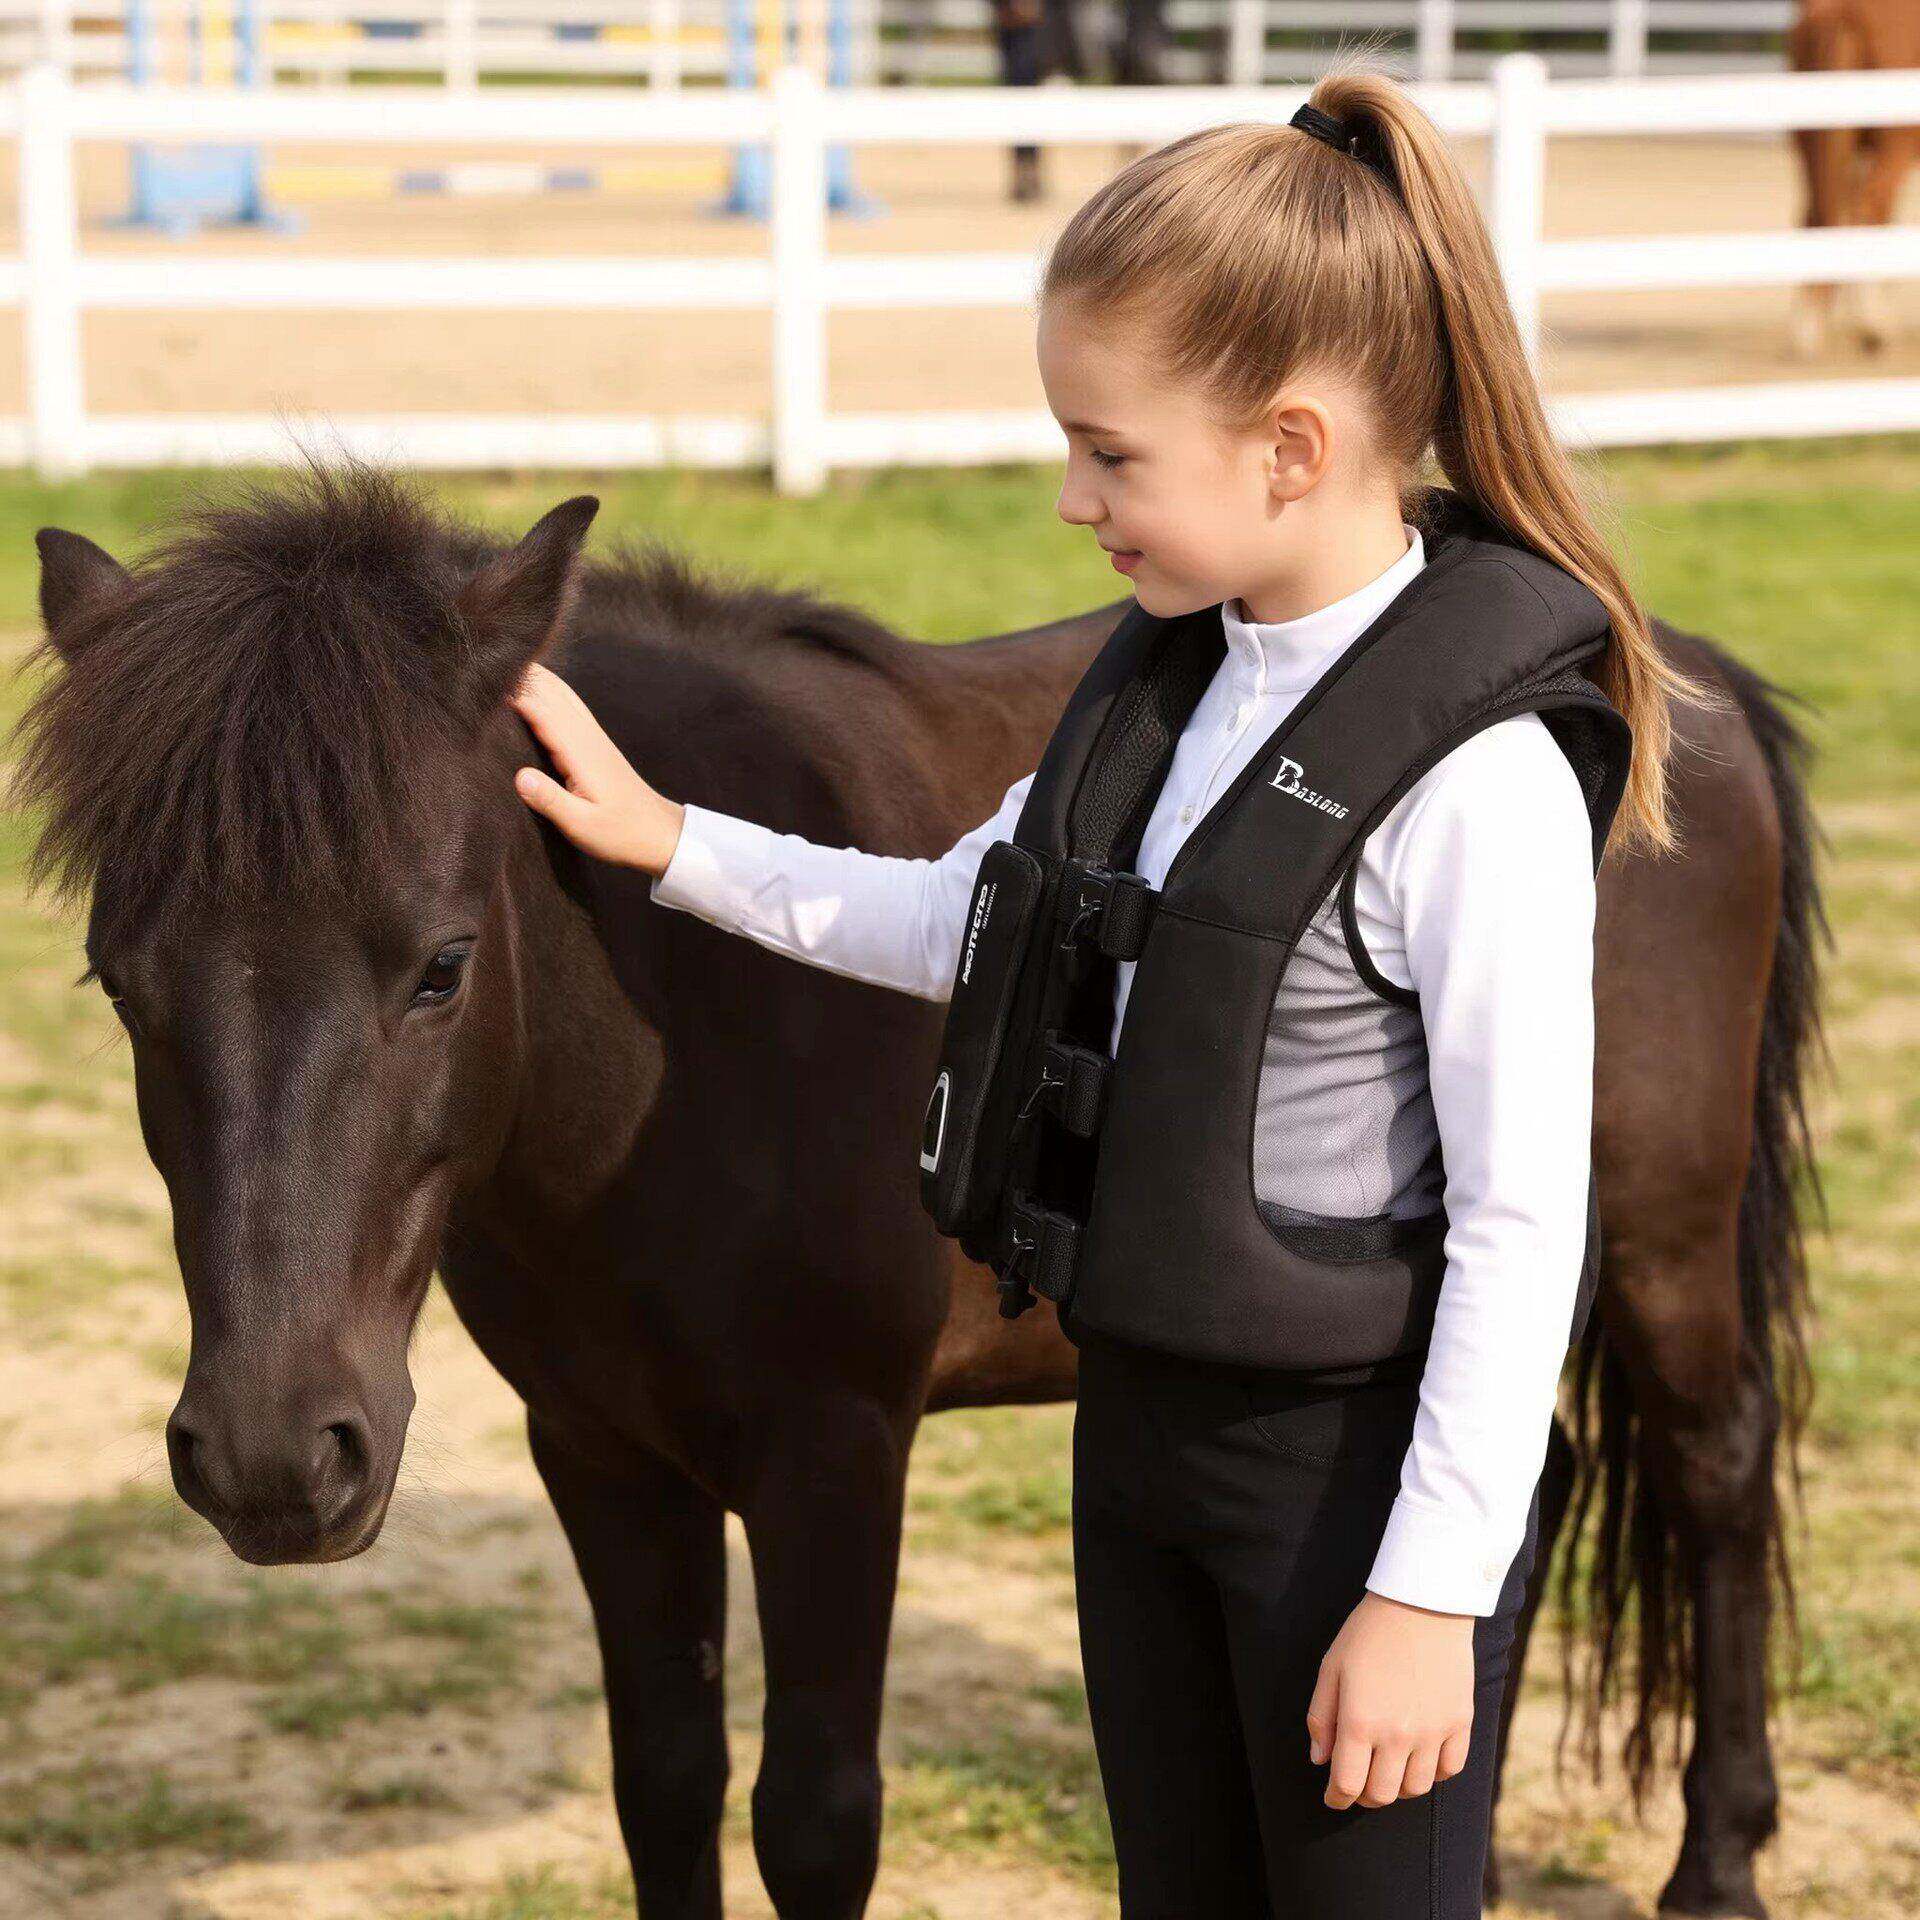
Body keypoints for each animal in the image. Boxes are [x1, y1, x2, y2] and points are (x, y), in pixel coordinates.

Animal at [1787, 0, 1920, 355]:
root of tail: (1844, 10)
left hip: (1812, 143)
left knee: (1816, 213)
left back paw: (1809, 331)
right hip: (1895, 146)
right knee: (1871, 206)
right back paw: (1874, 326)